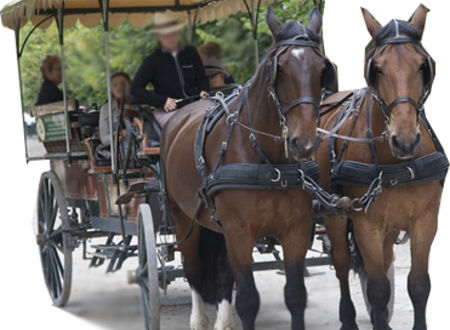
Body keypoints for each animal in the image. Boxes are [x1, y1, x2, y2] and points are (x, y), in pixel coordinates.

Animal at [160, 7, 332, 330]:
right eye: (281, 69)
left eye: (321, 69)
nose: (303, 142)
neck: (270, 163)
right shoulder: (239, 232)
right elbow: (249, 300)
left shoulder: (296, 230)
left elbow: (295, 296)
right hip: (184, 219)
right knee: (193, 270)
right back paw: (199, 319)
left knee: (223, 274)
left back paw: (223, 321)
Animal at [318, 4, 444, 330]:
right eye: (377, 68)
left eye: (422, 66)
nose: (405, 140)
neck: (395, 164)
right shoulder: (367, 224)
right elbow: (376, 289)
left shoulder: (425, 221)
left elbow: (418, 285)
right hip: (335, 214)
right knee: (342, 265)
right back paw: (348, 319)